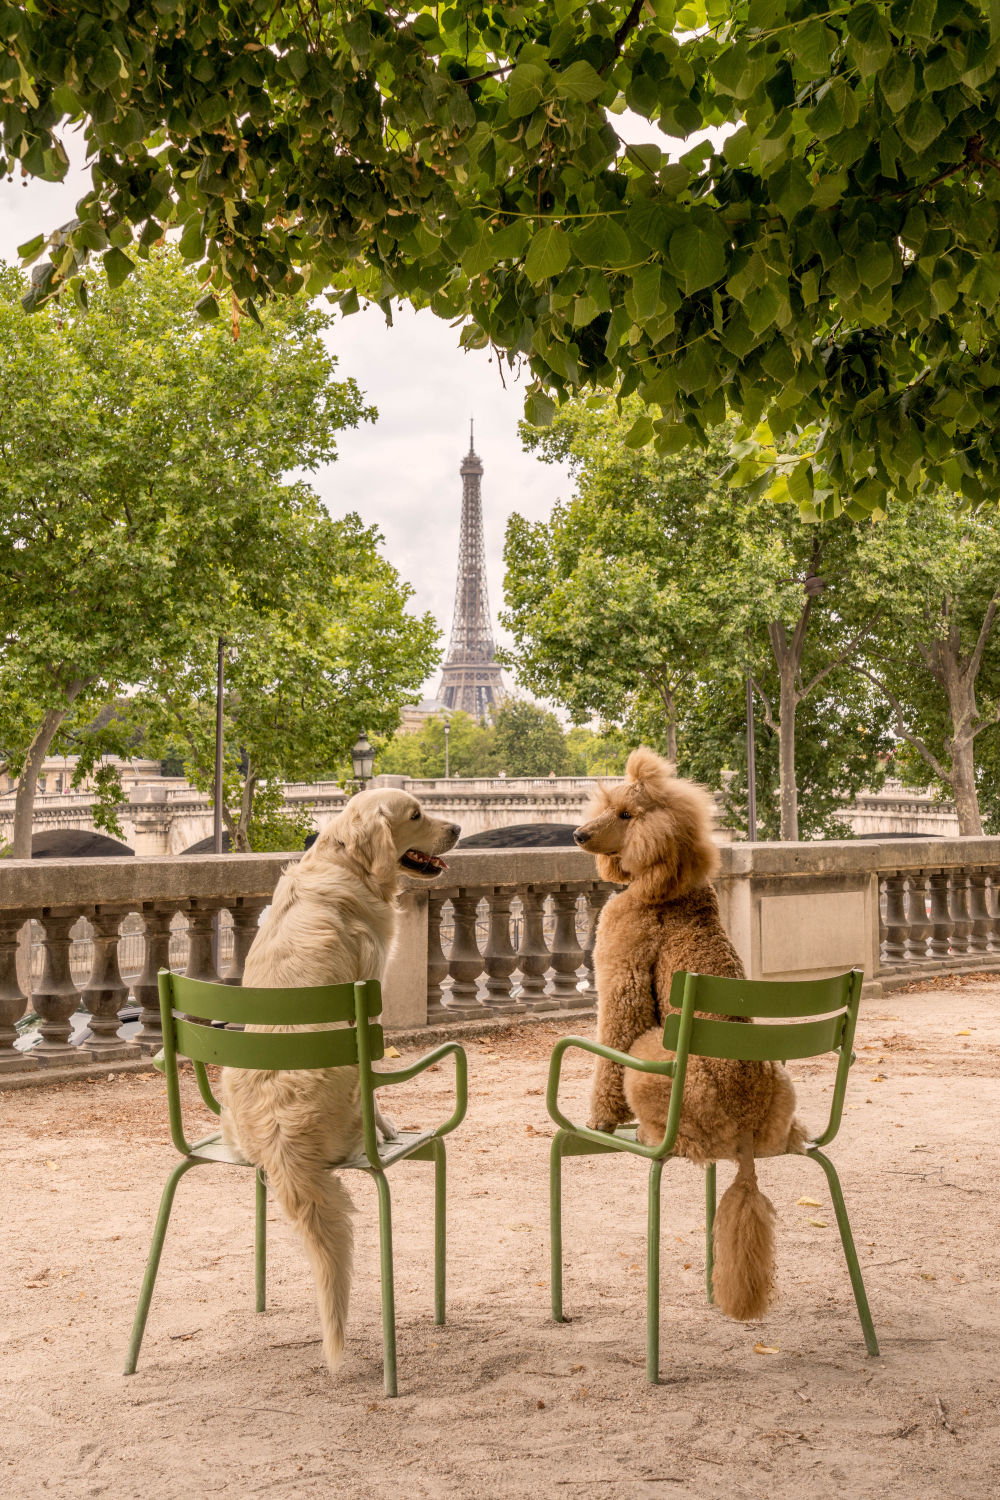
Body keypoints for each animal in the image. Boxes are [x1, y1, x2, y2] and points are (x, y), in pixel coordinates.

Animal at [220, 792, 458, 1374]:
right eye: (416, 815)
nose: (460, 829)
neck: (346, 864)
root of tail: (281, 1146)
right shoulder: (366, 993)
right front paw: (390, 1126)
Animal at [569, 744, 803, 1320]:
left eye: (627, 815)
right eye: (606, 806)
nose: (579, 835)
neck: (666, 891)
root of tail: (743, 1136)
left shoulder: (624, 982)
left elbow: (611, 1047)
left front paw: (601, 1120)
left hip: (656, 1061)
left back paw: (651, 1134)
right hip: (783, 1090)